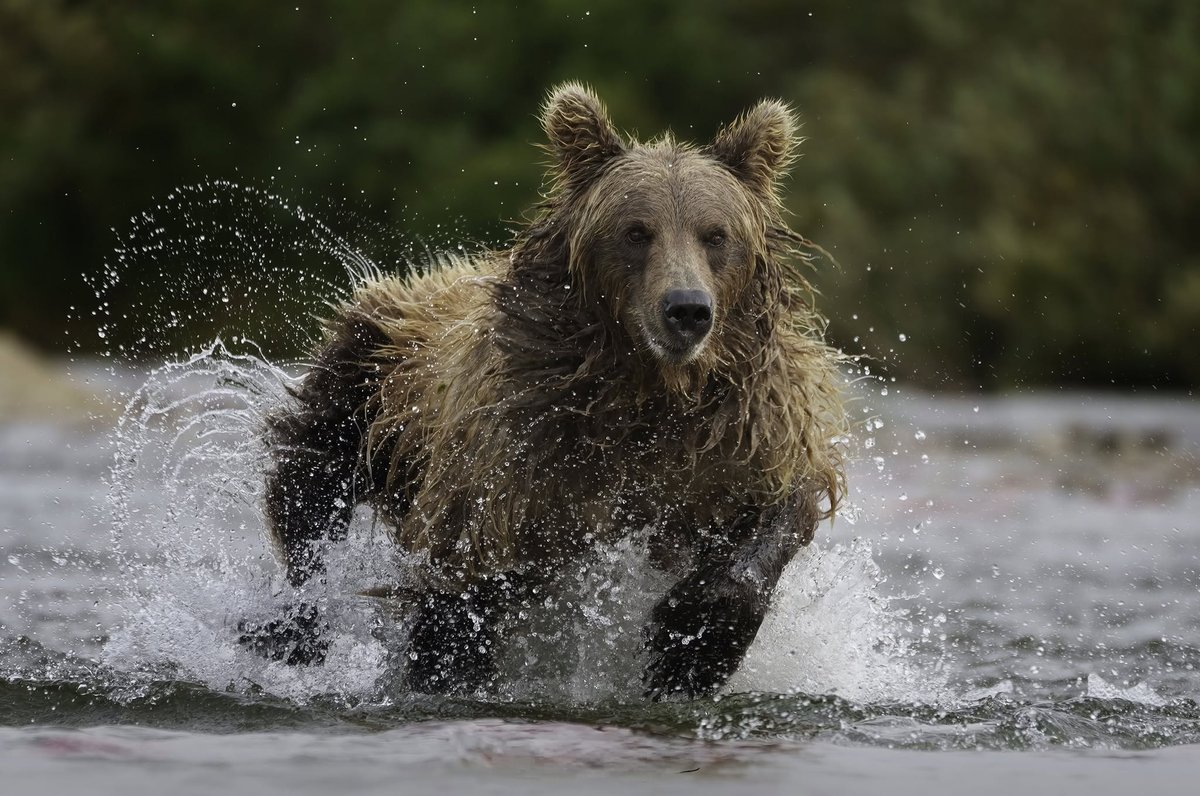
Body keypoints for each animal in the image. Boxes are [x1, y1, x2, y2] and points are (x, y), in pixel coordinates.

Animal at [238, 82, 847, 700]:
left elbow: (776, 507)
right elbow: (462, 587)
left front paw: (688, 647)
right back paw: (294, 625)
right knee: (309, 492)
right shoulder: (517, 454)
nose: (687, 310)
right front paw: (450, 669)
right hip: (366, 380)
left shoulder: (738, 430)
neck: (647, 388)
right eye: (636, 231)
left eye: (716, 235)